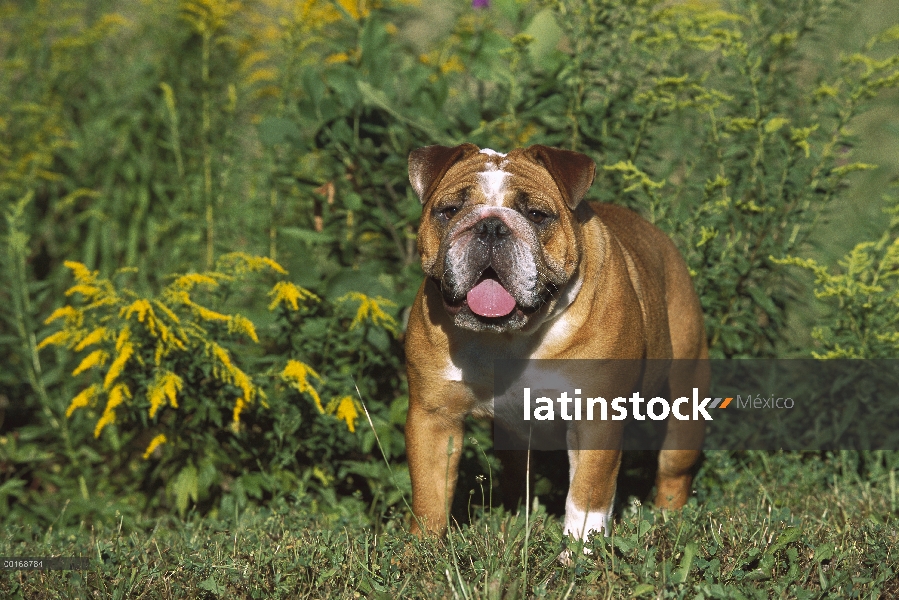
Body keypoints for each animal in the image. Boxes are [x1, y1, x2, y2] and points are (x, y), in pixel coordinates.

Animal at [404, 145, 708, 544]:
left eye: (536, 215)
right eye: (451, 210)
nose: (490, 226)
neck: (510, 337)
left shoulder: (596, 418)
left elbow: (586, 498)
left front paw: (578, 551)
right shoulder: (434, 417)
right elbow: (429, 498)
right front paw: (421, 552)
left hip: (684, 408)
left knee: (673, 472)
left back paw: (668, 521)